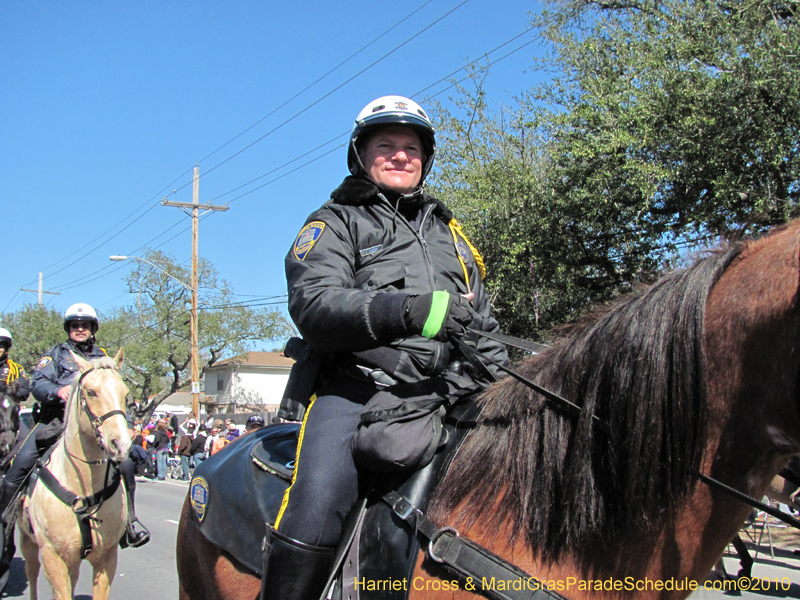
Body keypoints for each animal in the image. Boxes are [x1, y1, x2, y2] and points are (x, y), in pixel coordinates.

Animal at [17, 350, 131, 600]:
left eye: (125, 393)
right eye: (91, 392)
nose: (121, 444)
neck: (84, 488)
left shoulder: (107, 558)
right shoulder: (52, 557)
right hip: (27, 541)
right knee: (31, 573)